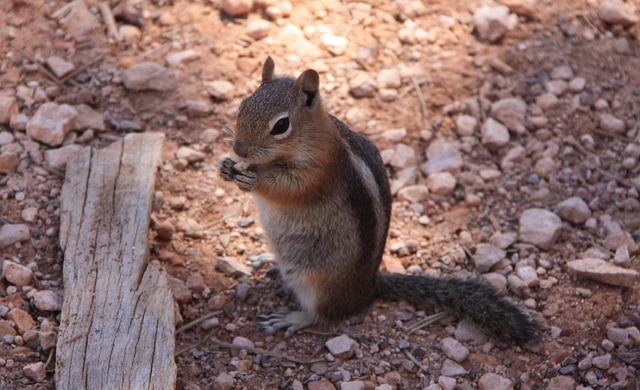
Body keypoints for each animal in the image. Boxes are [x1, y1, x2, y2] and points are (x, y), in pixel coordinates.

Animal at [221, 55, 540, 344]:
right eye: (243, 104)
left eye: (281, 125)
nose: (239, 149)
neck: (307, 137)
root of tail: (369, 286)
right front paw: (226, 167)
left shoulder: (320, 170)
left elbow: (291, 189)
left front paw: (253, 180)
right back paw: (269, 260)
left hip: (318, 284)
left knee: (322, 314)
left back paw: (292, 317)